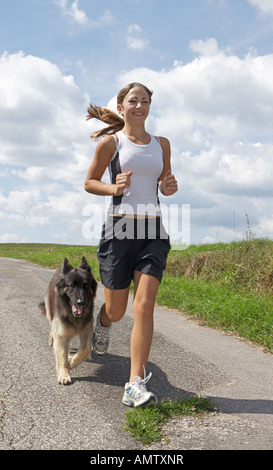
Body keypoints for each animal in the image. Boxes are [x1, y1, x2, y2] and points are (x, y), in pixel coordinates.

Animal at [39, 258, 96, 386]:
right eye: (72, 285)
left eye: (86, 285)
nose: (81, 303)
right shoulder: (61, 334)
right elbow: (61, 355)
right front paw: (64, 373)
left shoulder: (86, 332)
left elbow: (85, 350)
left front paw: (71, 363)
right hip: (50, 313)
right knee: (52, 327)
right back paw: (52, 339)